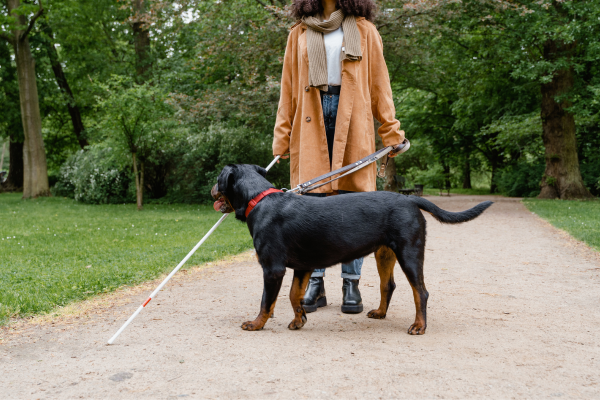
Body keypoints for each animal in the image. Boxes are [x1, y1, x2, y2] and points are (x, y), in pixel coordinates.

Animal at [211, 163, 492, 334]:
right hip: (385, 254)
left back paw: (419, 326)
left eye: (218, 179)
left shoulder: (272, 268)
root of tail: (411, 198)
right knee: (388, 286)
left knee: (420, 292)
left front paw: (256, 323)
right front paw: (299, 320)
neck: (258, 200)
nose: (212, 189)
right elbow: (294, 295)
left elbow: (266, 302)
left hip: (410, 253)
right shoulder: (303, 267)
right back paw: (380, 312)